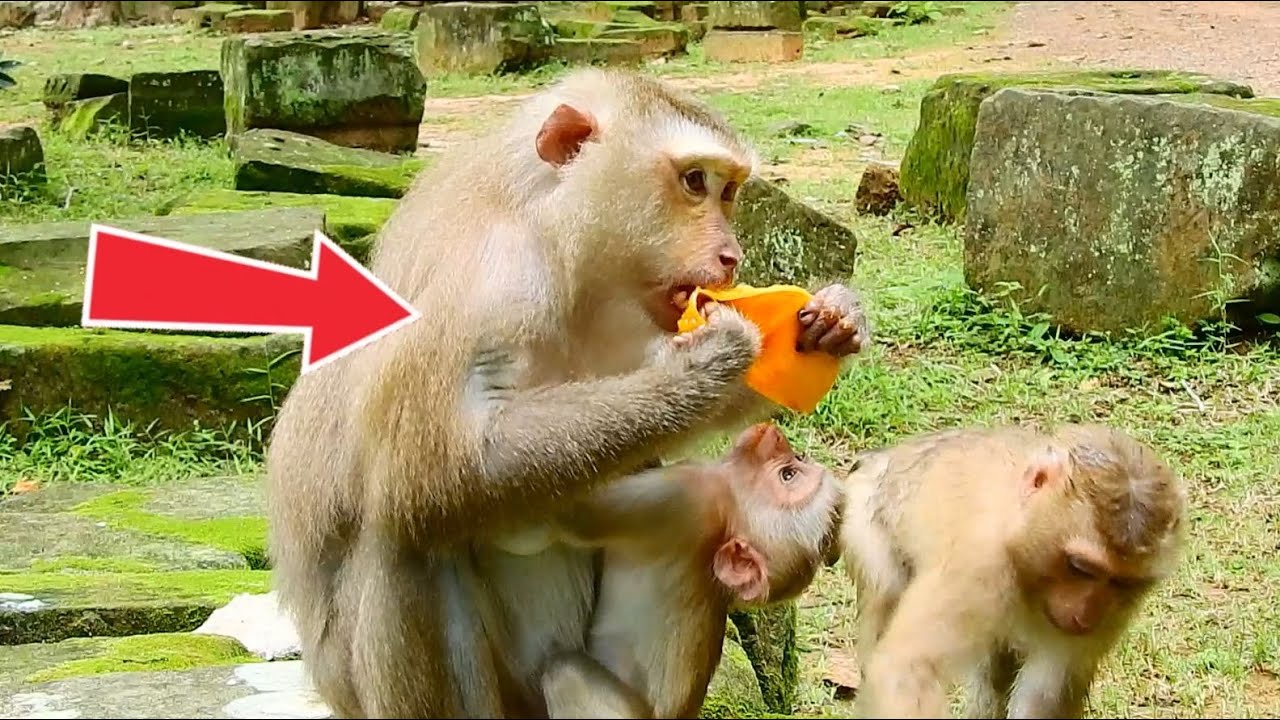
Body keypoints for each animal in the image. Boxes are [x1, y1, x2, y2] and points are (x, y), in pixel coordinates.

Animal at [537, 421, 845, 719]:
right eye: (796, 464)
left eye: (788, 475)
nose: (775, 434)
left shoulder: (688, 495)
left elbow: (567, 513)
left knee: (565, 674)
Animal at [837, 423, 1187, 719]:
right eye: (1081, 568)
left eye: (1123, 583)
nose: (1088, 614)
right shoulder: (977, 566)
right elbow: (907, 671)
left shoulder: (1114, 613)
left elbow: (1048, 694)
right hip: (863, 521)